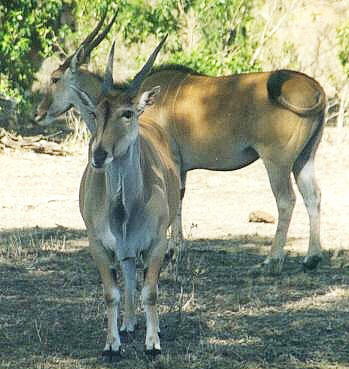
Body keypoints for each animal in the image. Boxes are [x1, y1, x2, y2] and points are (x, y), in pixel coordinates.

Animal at [36, 14, 326, 274]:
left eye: (55, 79)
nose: (39, 112)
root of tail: (316, 89)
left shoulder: (168, 161)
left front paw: (168, 250)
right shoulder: (181, 167)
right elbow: (180, 198)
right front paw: (175, 249)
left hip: (276, 161)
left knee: (286, 200)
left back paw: (272, 261)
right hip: (305, 158)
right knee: (313, 195)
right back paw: (311, 258)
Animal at [76, 38, 179, 358]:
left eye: (127, 113)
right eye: (95, 113)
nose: (98, 154)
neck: (124, 210)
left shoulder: (157, 243)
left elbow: (151, 292)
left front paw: (153, 342)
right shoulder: (98, 245)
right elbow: (112, 293)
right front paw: (112, 343)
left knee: (137, 279)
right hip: (123, 249)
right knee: (129, 275)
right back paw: (129, 322)